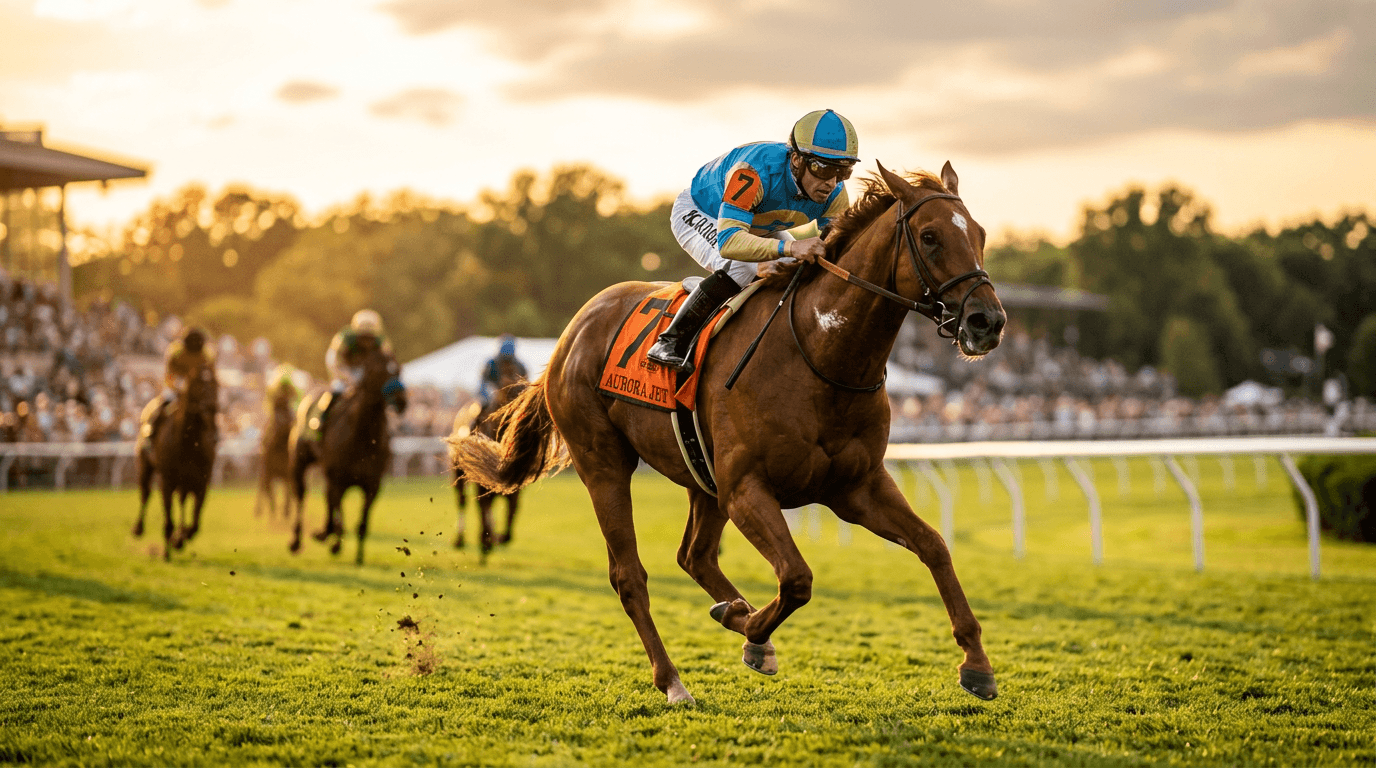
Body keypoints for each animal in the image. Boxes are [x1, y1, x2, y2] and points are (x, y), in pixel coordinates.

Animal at [132, 363, 220, 561]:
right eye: (198, 385)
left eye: (216, 385)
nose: (212, 408)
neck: (188, 442)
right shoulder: (167, 481)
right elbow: (168, 520)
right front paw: (167, 551)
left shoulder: (202, 482)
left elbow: (195, 524)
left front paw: (180, 538)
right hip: (144, 464)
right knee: (145, 493)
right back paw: (138, 528)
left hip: (185, 482)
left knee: (182, 501)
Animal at [287, 339, 405, 564]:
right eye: (378, 370)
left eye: (398, 369)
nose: (402, 401)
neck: (363, 437)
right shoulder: (339, 479)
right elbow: (339, 516)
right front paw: (334, 544)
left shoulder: (372, 485)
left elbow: (362, 524)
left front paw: (358, 557)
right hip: (299, 462)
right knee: (301, 495)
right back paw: (297, 541)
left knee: (327, 499)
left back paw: (325, 533)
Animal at [451, 360, 529, 561]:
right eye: (510, 396)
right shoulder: (481, 483)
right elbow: (483, 509)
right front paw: (486, 542)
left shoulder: (514, 489)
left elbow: (510, 523)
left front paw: (497, 538)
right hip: (458, 473)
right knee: (463, 501)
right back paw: (460, 540)